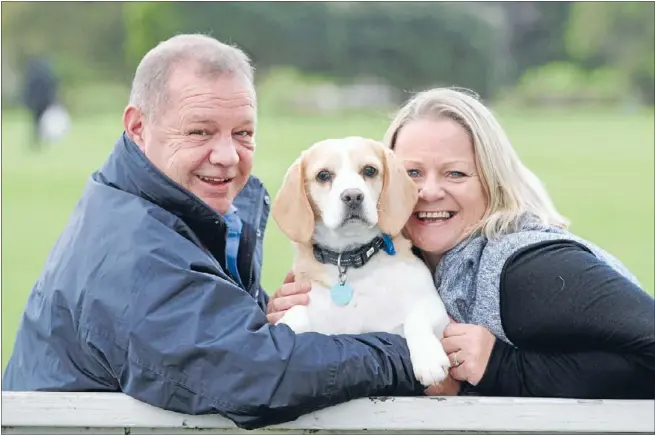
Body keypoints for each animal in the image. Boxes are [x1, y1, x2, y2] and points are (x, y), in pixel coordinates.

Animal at [270, 137, 452, 388]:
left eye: (369, 170)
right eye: (323, 175)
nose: (353, 196)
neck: (350, 261)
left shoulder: (434, 307)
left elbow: (416, 319)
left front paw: (429, 359)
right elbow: (293, 318)